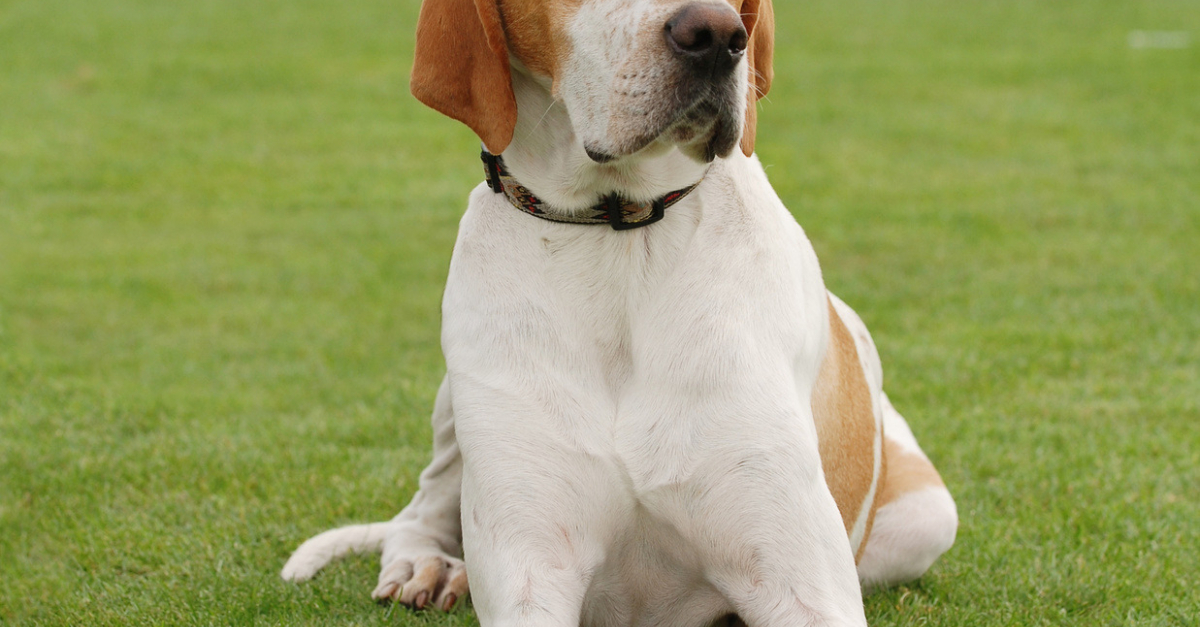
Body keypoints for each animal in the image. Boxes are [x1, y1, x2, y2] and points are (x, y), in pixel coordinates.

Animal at [278, 1, 955, 619]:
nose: (716, 35)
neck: (617, 233)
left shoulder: (800, 579)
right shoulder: (531, 568)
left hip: (928, 515)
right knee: (418, 508)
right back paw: (429, 564)